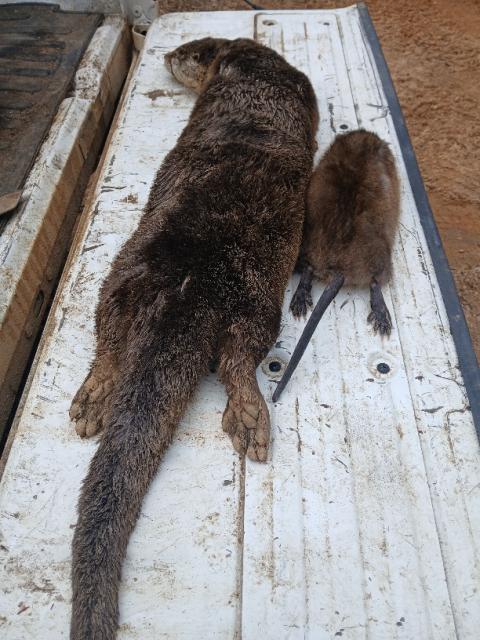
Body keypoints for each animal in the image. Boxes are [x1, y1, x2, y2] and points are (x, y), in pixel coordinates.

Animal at [69, 37, 318, 639]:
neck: (256, 81)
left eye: (185, 52)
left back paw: (95, 396)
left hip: (122, 278)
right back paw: (249, 417)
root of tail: (188, 286)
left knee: (109, 332)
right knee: (237, 358)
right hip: (254, 305)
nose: (165, 58)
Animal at [272, 129, 400, 402]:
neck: (361, 147)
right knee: (376, 282)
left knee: (308, 268)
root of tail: (338, 268)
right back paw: (382, 318)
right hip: (382, 257)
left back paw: (299, 301)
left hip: (307, 240)